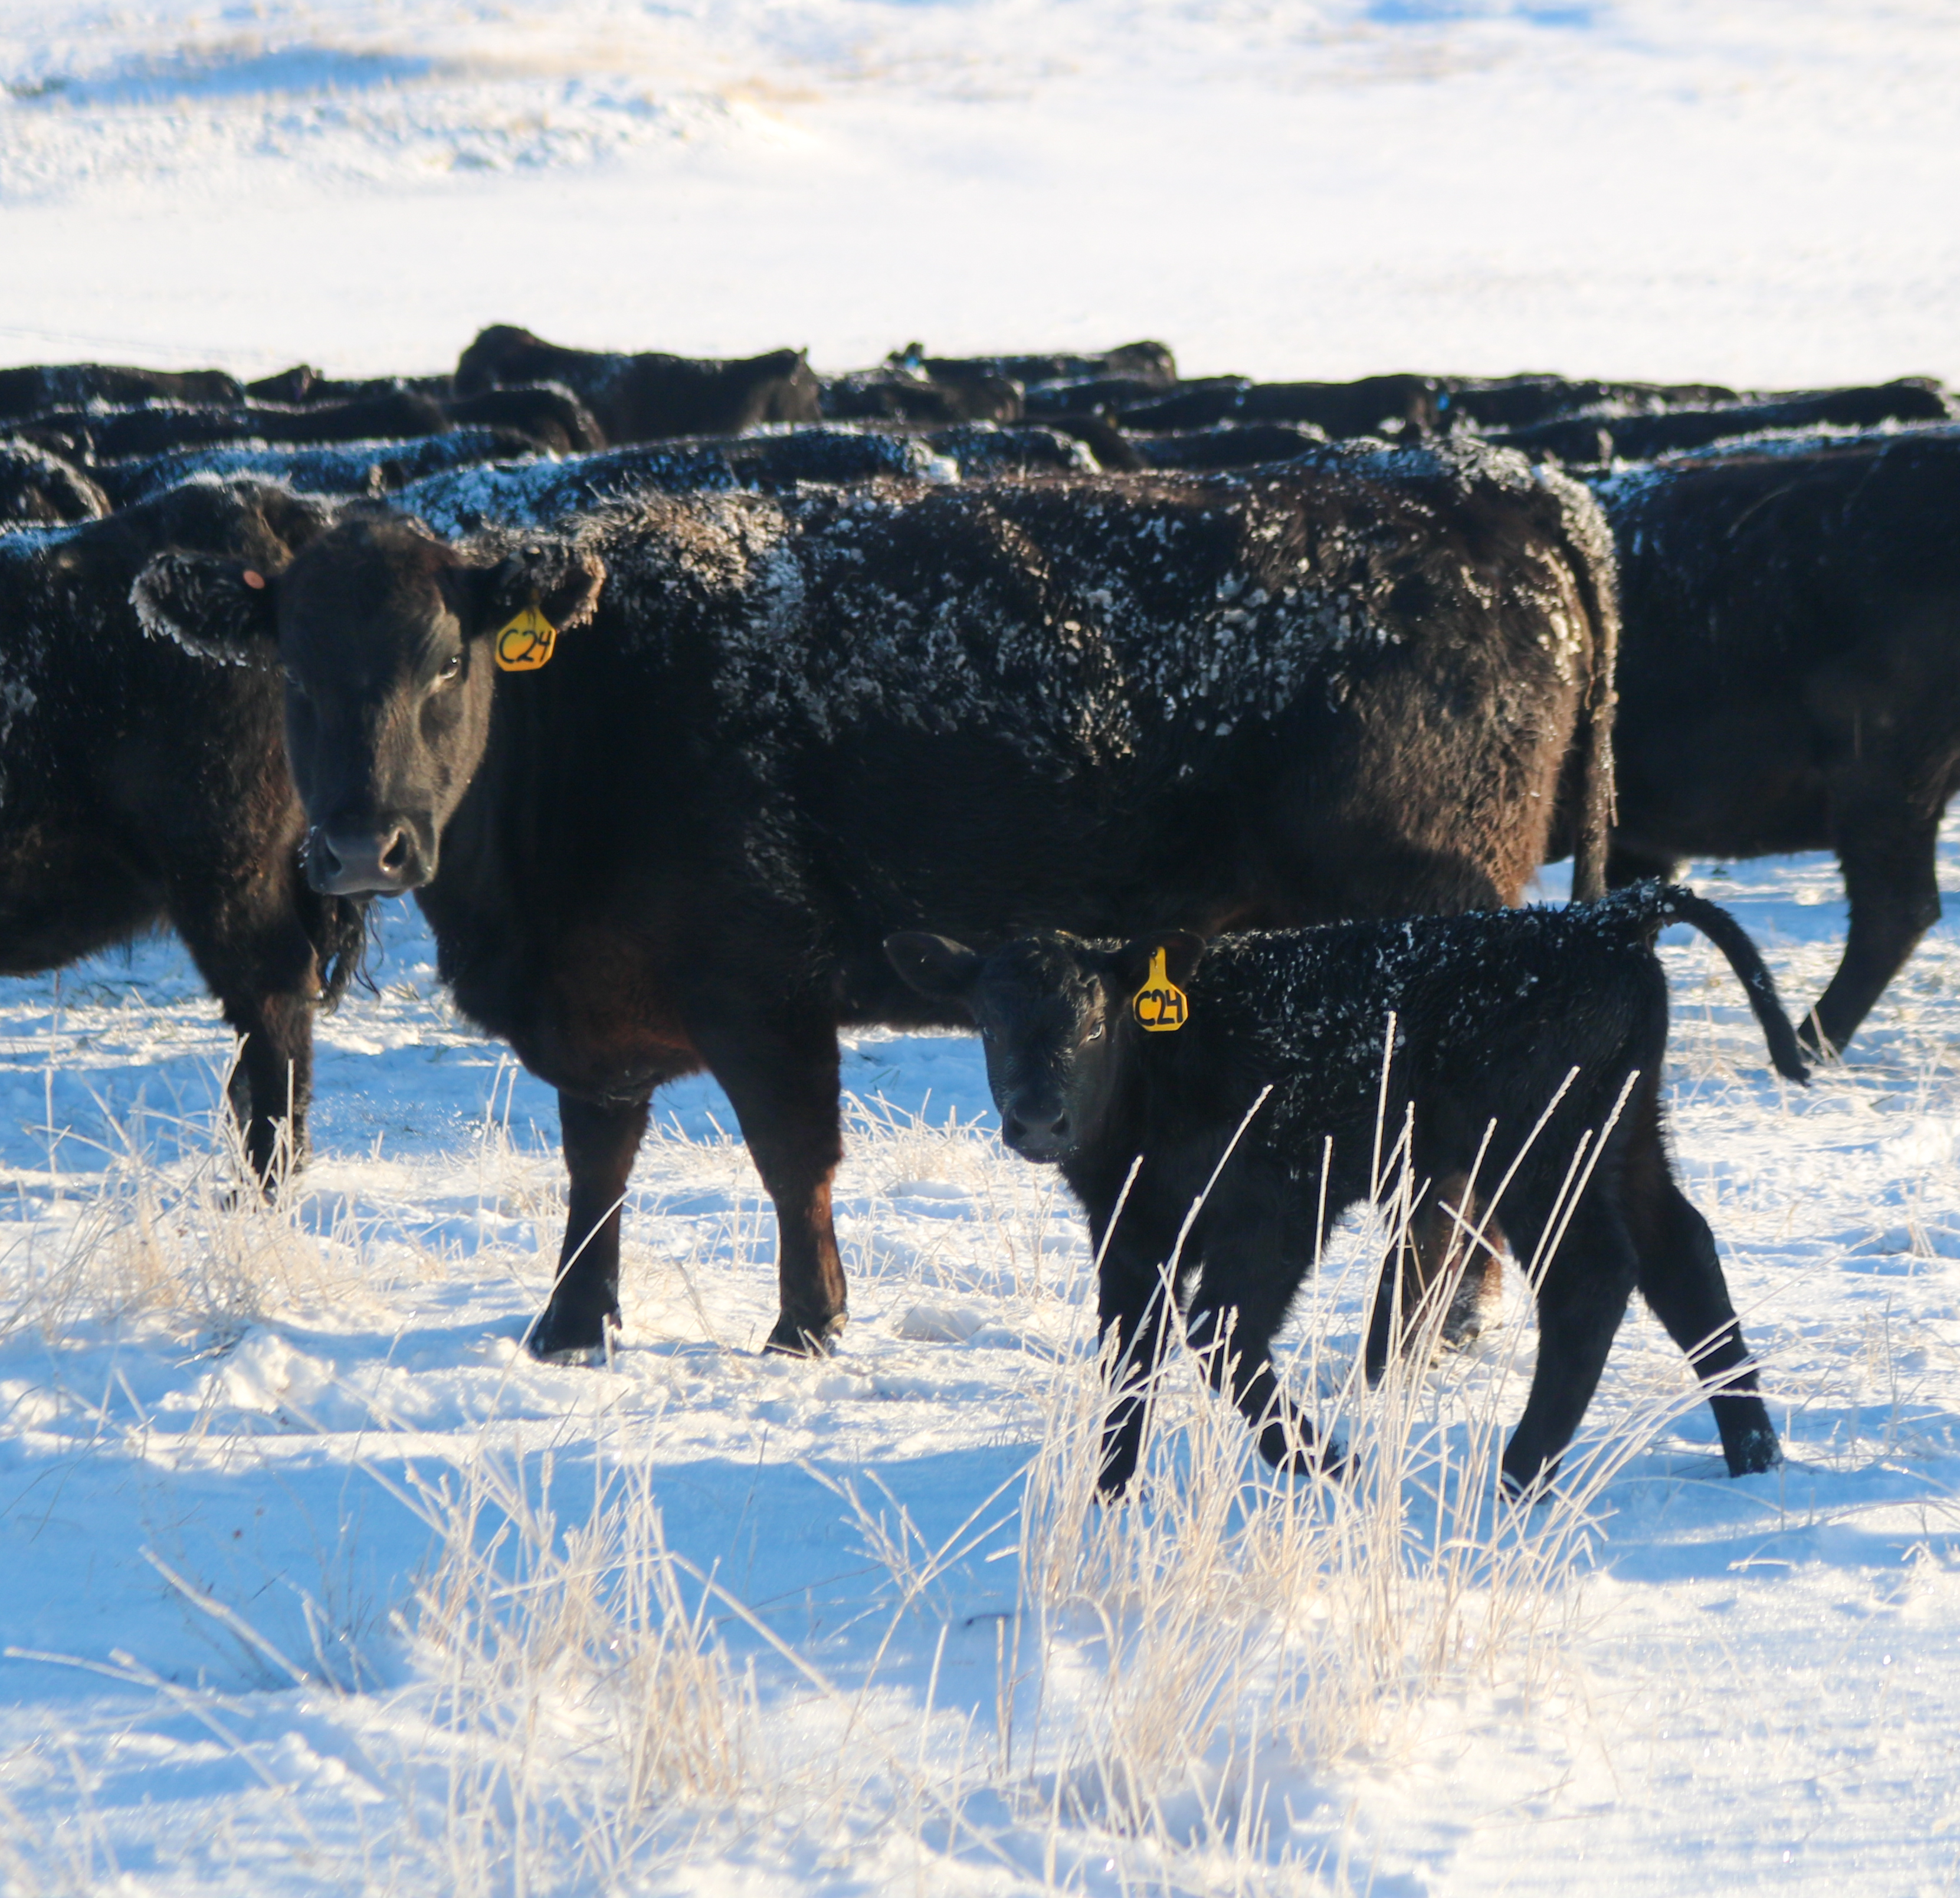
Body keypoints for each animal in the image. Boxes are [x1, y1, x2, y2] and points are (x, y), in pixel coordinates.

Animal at [132, 438, 1620, 1359]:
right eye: (291, 672)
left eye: (447, 663)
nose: (357, 849)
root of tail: (1495, 485)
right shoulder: (602, 1009)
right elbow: (597, 1162)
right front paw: (570, 1327)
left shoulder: (759, 987)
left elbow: (794, 1158)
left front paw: (807, 1326)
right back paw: (1453, 1318)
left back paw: (1421, 1326)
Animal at [884, 885, 1804, 1497]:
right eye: (987, 1021)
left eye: (1097, 1018)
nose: (1038, 1118)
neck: (1166, 1064)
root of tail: (1602, 918)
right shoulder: (1131, 1232)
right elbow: (1128, 1356)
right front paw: (1110, 1498)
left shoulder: (1277, 1211)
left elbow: (1221, 1336)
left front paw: (1332, 1465)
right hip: (1623, 1136)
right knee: (1681, 1255)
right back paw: (1751, 1454)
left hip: (1537, 1151)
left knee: (1591, 1276)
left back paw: (1519, 1473)